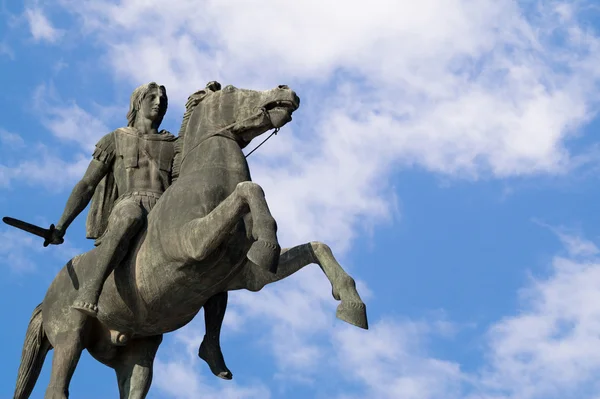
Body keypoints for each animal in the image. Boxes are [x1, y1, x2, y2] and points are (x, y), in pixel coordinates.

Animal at [14, 83, 368, 398]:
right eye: (231, 90)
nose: (286, 91)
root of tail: (47, 297)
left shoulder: (247, 278)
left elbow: (317, 247)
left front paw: (351, 304)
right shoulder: (193, 244)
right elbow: (249, 190)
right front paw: (268, 244)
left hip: (137, 353)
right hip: (70, 336)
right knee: (57, 388)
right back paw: (86, 301)